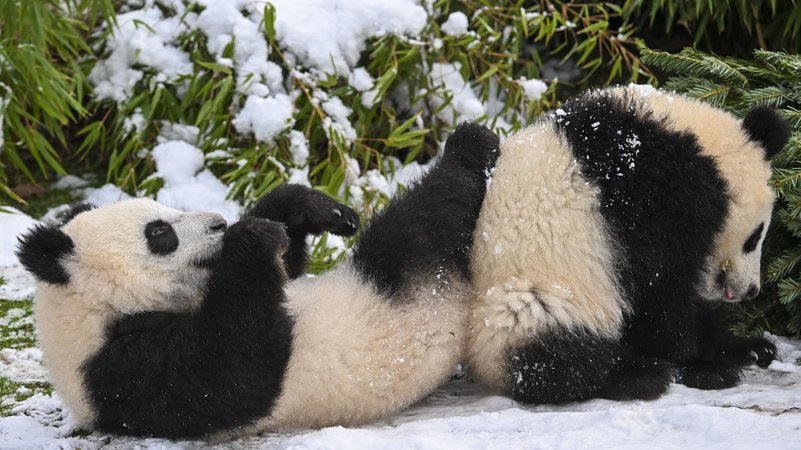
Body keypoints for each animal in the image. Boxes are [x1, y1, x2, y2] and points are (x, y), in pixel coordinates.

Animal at [16, 122, 500, 439]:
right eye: (160, 233)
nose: (218, 223)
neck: (95, 311)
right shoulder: (121, 369)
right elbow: (234, 370)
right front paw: (250, 237)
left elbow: (285, 267)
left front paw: (309, 210)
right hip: (405, 284)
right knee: (421, 223)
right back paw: (469, 148)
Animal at [467, 85, 791, 404]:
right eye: (754, 237)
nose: (751, 290)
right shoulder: (652, 196)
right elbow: (661, 293)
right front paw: (704, 367)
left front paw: (748, 348)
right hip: (532, 294)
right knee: (553, 352)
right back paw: (638, 374)